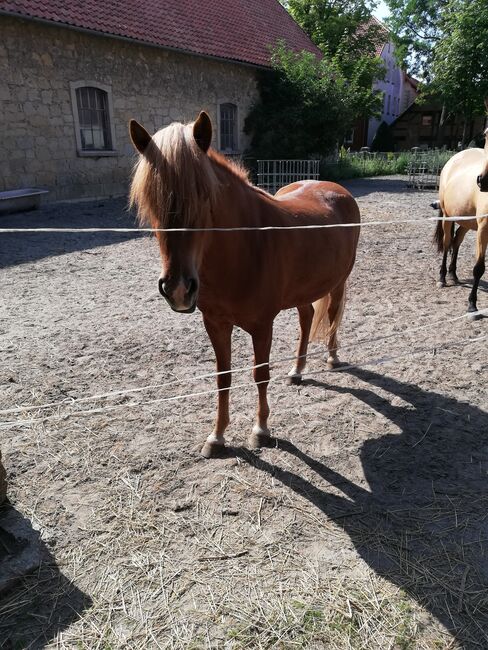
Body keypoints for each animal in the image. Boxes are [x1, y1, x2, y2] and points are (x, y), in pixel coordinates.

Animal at [127, 111, 360, 456]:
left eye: (205, 196)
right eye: (150, 201)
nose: (178, 289)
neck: (245, 247)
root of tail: (336, 189)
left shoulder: (262, 326)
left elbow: (260, 375)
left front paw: (260, 430)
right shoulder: (216, 324)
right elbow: (223, 378)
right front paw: (217, 436)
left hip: (338, 282)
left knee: (331, 316)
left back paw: (332, 358)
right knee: (306, 319)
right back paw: (297, 371)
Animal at [434, 127, 488, 316]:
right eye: (486, 134)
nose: (482, 181)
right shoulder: (483, 229)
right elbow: (479, 268)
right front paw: (472, 304)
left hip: (466, 222)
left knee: (456, 240)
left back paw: (453, 274)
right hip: (448, 217)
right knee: (447, 242)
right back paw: (443, 277)